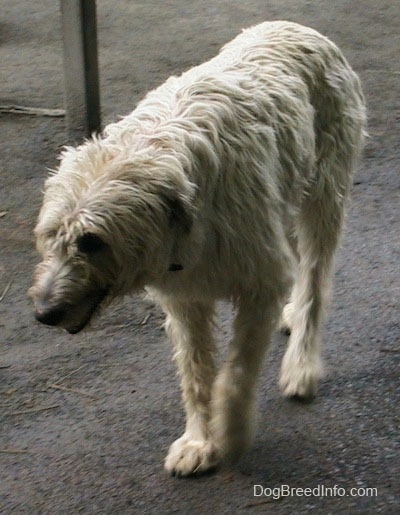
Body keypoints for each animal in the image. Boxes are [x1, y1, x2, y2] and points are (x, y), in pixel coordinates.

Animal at [29, 22, 368, 478]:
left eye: (91, 240)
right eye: (50, 235)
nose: (44, 313)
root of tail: (295, 26)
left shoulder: (258, 282)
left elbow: (237, 370)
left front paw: (232, 433)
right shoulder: (185, 296)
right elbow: (195, 370)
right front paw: (200, 440)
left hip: (324, 194)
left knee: (314, 277)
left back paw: (302, 364)